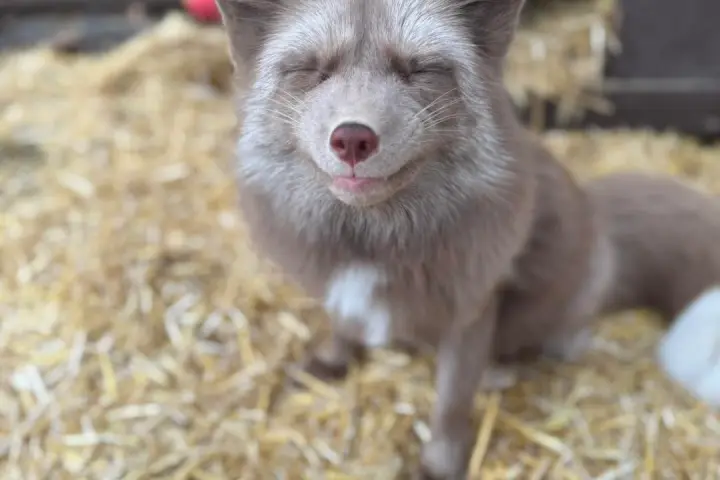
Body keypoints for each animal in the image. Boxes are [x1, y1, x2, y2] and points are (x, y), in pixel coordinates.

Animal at [214, 0, 720, 477]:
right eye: (313, 69)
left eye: (418, 70)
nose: (353, 139)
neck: (373, 246)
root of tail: (597, 215)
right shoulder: (341, 287)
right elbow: (342, 327)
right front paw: (329, 364)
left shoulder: (473, 309)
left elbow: (451, 403)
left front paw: (440, 464)